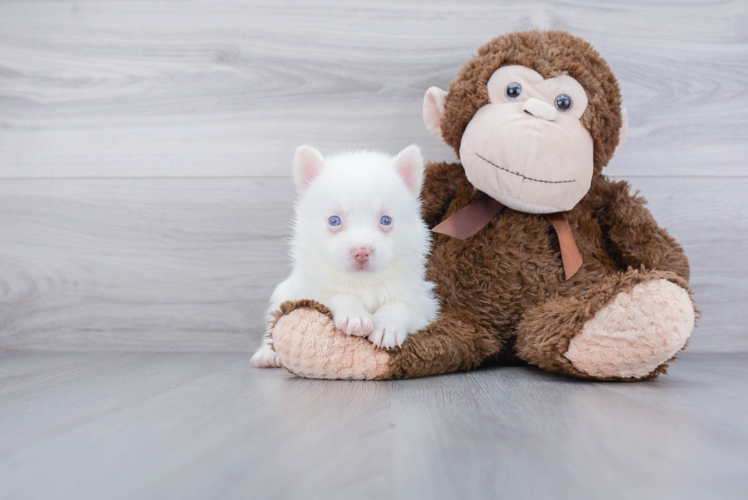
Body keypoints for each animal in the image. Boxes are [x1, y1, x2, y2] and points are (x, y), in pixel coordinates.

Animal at [253, 145, 438, 368]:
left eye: (386, 220)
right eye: (334, 220)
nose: (362, 252)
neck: (364, 282)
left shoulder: (421, 301)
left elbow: (400, 305)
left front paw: (387, 325)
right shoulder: (310, 290)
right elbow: (338, 295)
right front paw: (354, 315)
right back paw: (267, 353)